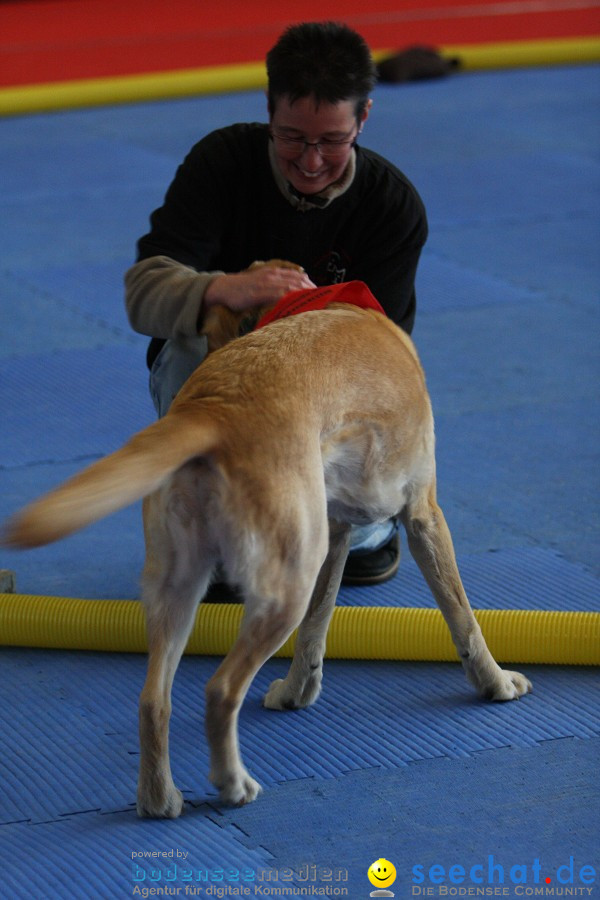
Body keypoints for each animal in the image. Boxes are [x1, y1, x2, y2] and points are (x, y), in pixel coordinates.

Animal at [3, 258, 528, 816]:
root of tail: (211, 410)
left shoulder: (333, 533)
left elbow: (317, 626)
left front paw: (298, 691)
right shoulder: (424, 514)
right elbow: (462, 618)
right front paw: (495, 683)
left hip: (185, 584)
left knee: (153, 700)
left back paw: (158, 797)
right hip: (282, 589)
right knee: (220, 690)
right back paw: (233, 783)